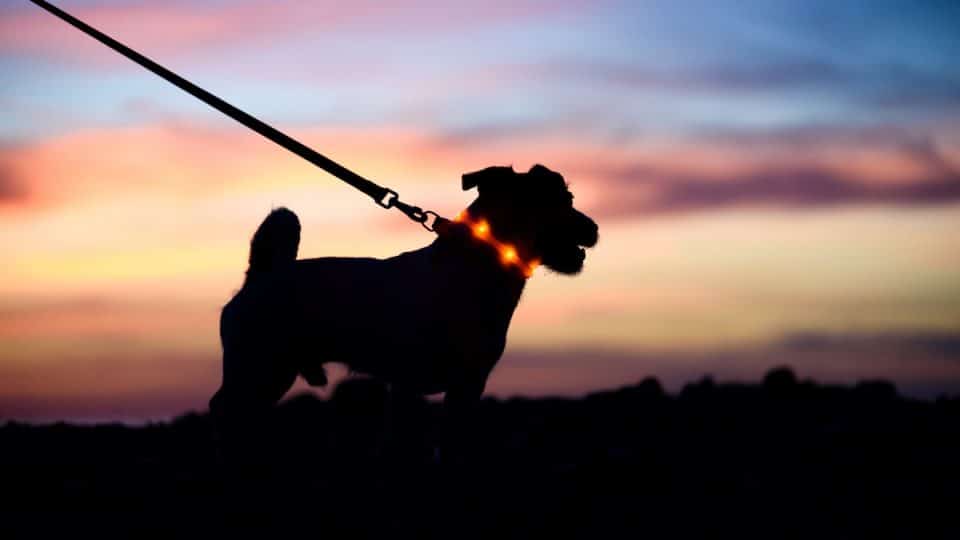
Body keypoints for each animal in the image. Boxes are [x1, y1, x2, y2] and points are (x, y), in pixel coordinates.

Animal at [214, 163, 596, 456]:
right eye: (557, 202)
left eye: (570, 198)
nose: (594, 229)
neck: (476, 269)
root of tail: (260, 274)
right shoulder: (408, 386)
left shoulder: (467, 386)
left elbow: (453, 444)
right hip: (256, 369)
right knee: (224, 410)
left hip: (270, 376)